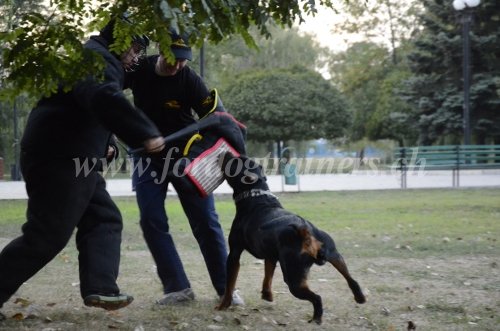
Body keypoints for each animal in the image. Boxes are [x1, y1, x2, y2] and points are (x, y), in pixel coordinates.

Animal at [217, 153, 366, 324]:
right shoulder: (270, 256)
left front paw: (223, 305)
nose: (227, 152)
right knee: (351, 279)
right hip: (335, 254)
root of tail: (306, 232)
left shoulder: (234, 254)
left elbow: (230, 284)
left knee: (317, 298)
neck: (257, 196)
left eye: (235, 162)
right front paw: (267, 295)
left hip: (293, 278)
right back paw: (360, 297)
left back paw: (316, 319)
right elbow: (268, 275)